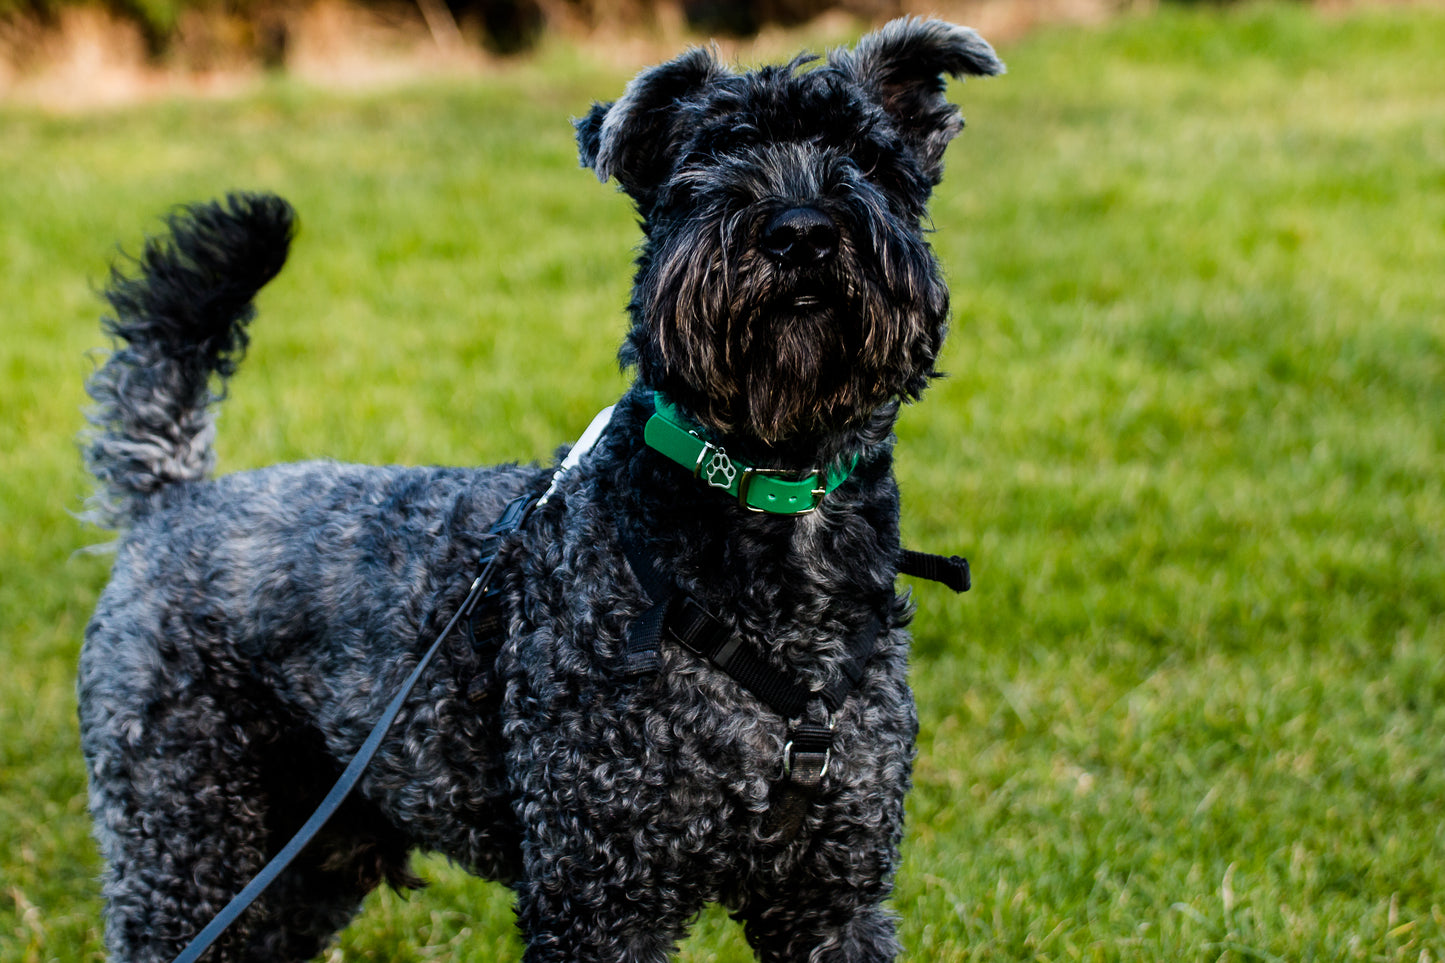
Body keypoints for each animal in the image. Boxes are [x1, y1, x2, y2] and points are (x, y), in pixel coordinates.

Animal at [79, 18, 1005, 954]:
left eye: (868, 156)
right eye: (709, 154)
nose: (801, 230)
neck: (770, 505)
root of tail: (170, 499)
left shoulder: (831, 894)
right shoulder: (598, 889)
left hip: (304, 864)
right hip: (185, 842)